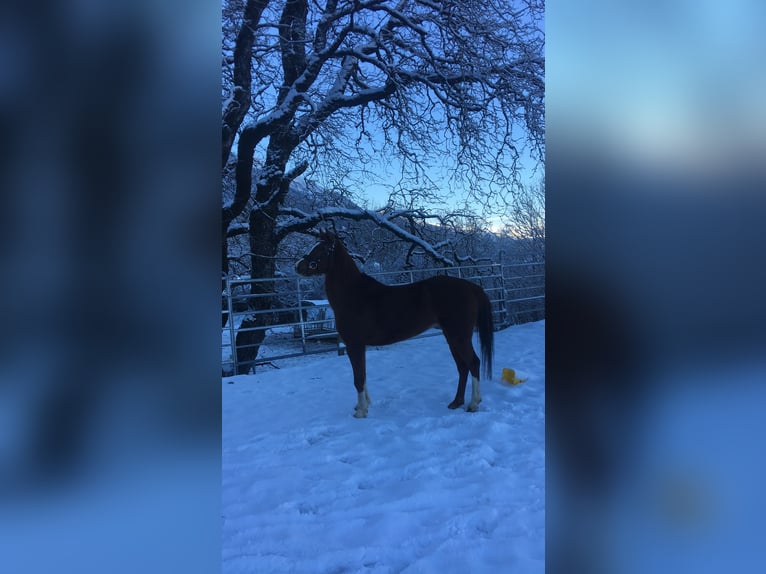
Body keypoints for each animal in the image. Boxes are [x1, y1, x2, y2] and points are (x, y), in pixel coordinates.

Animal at [296, 232, 496, 420]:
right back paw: (456, 402)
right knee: (462, 367)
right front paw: (363, 405)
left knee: (473, 362)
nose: (298, 266)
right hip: (451, 336)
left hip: (459, 336)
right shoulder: (359, 346)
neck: (354, 295)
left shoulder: (355, 344)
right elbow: (363, 374)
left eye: (321, 249)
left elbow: (358, 377)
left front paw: (361, 411)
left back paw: (473, 404)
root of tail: (472, 287)